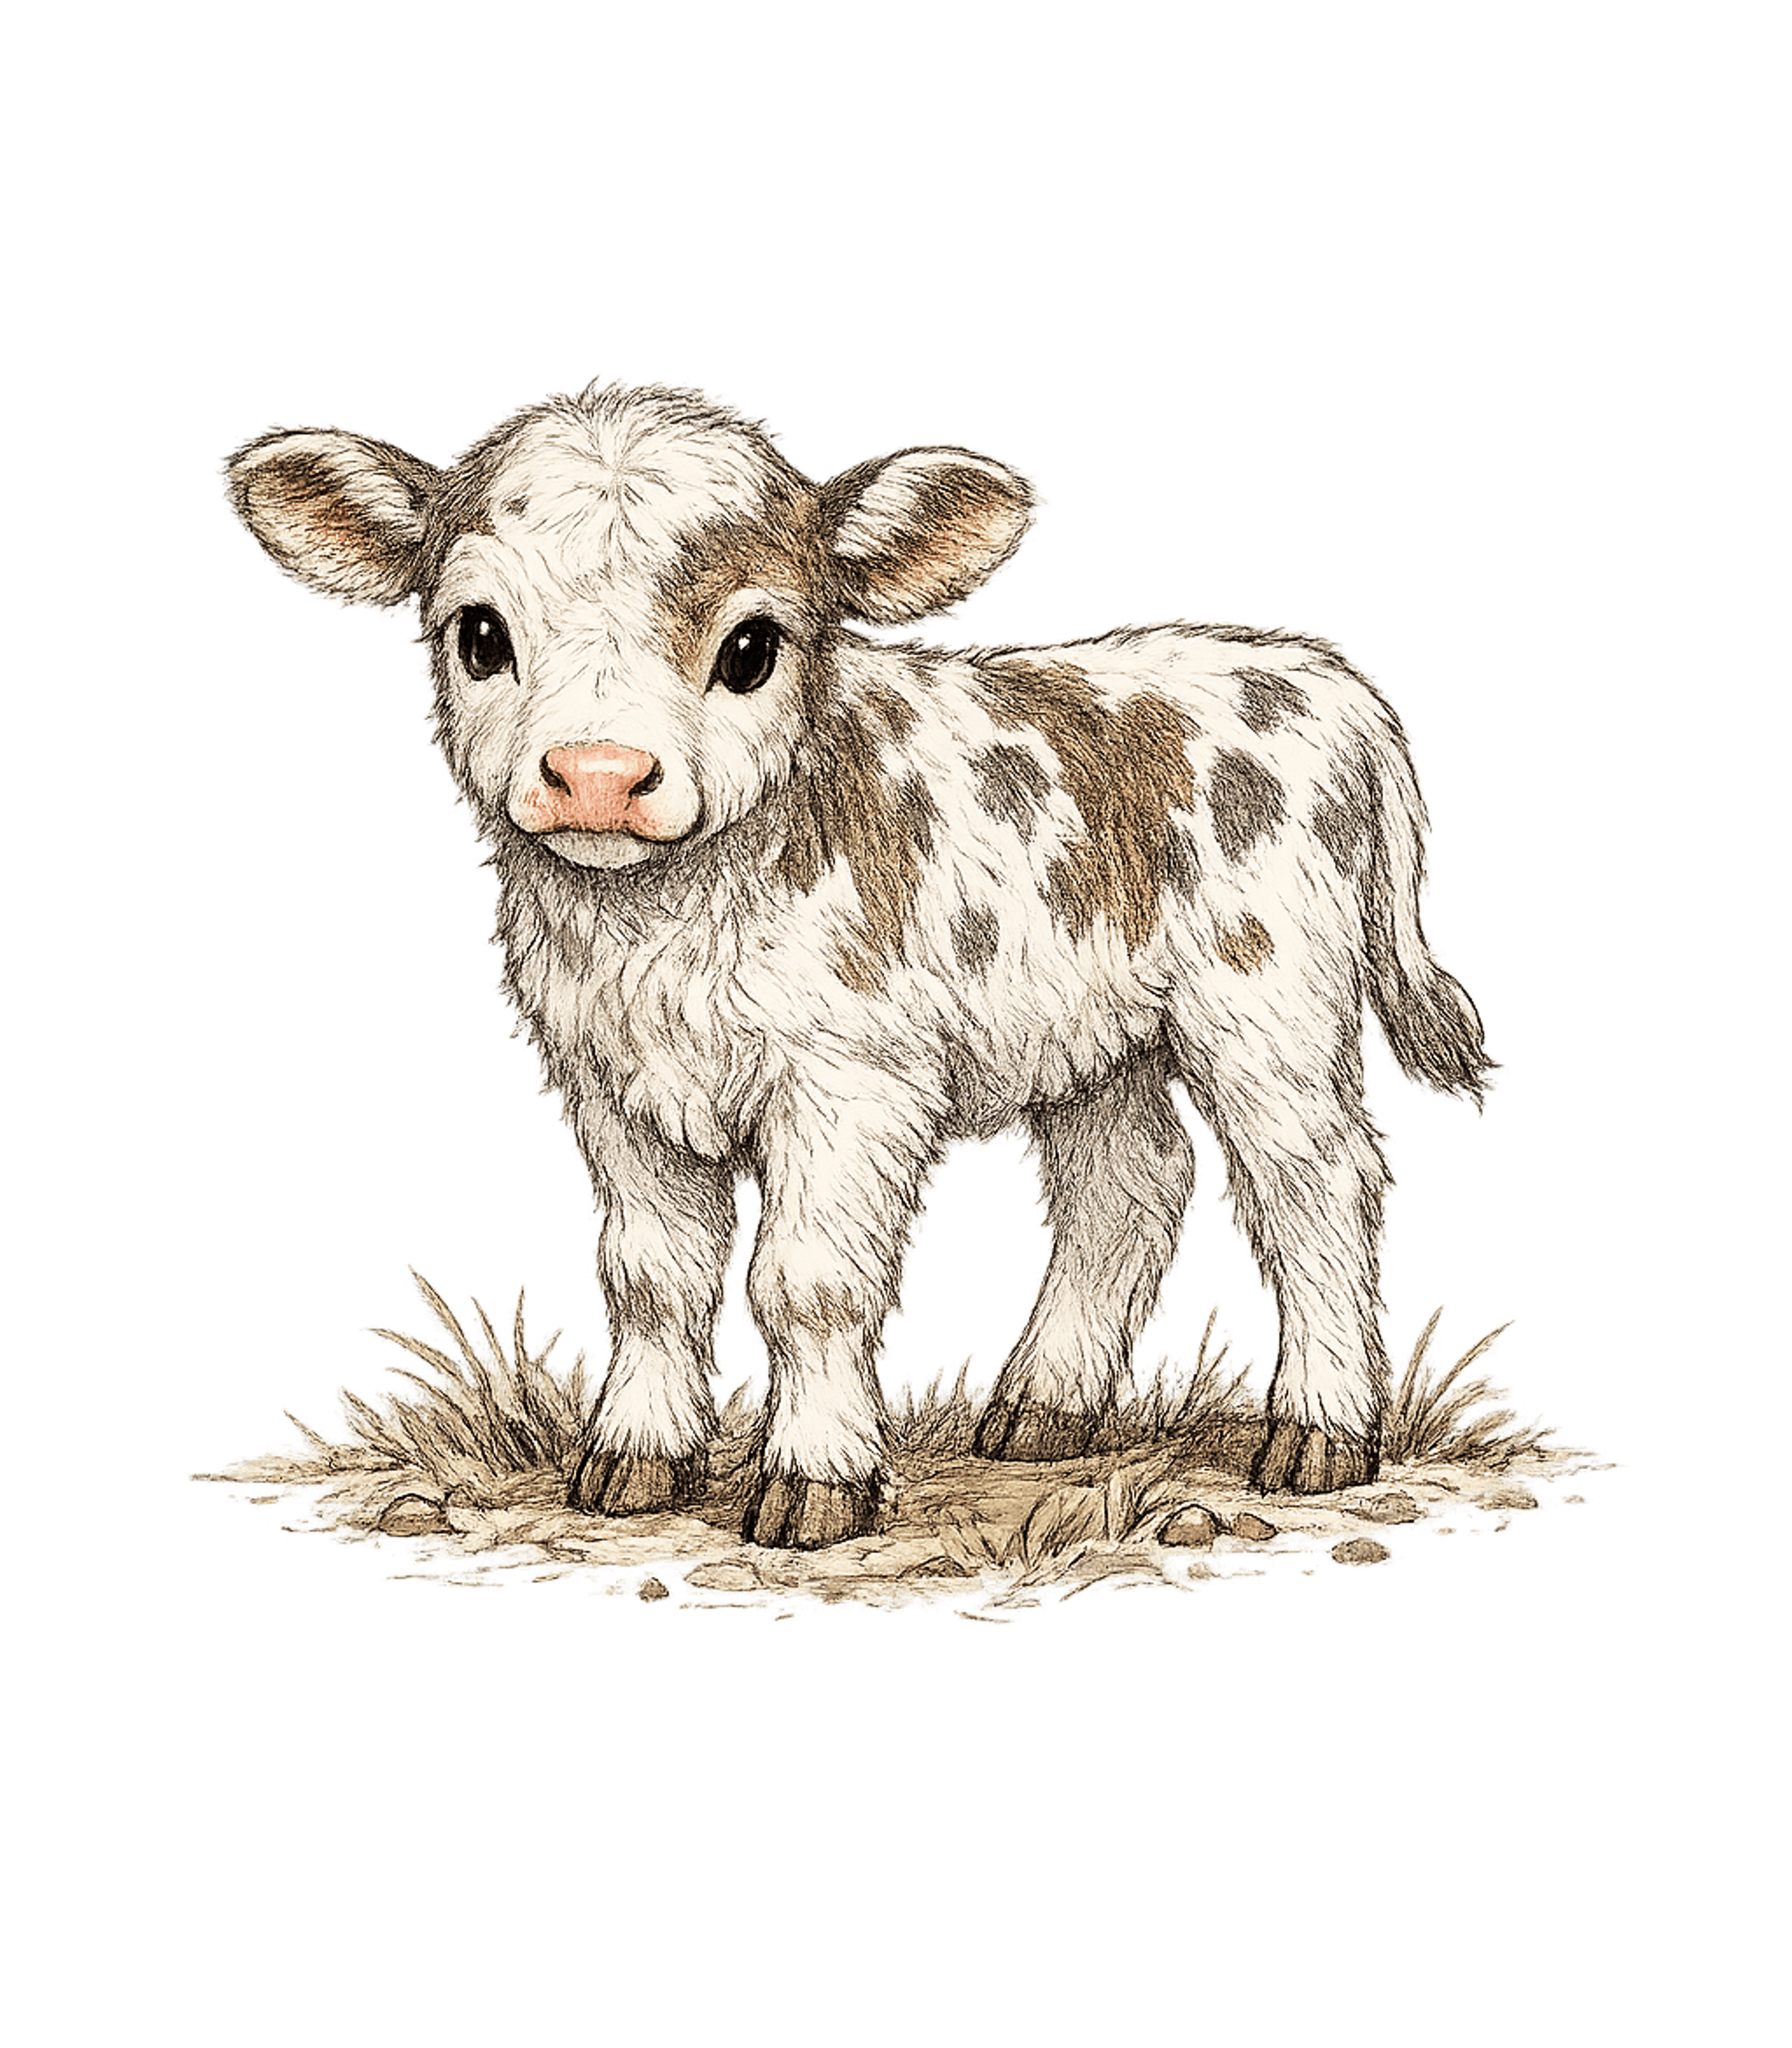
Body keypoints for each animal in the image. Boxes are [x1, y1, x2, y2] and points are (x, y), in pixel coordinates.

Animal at [219, 376, 1502, 1550]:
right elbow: (653, 1278)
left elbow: (809, 1281)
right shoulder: (610, 1086)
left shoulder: (850, 1081)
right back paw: (1045, 1411)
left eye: (752, 648)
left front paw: (814, 1484)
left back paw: (1321, 1433)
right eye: (479, 634)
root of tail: (1311, 677)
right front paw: (634, 1460)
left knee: (1317, 1187)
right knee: (1124, 1193)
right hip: (1101, 1035)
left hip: (1267, 1008)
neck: (664, 927)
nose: (597, 773)